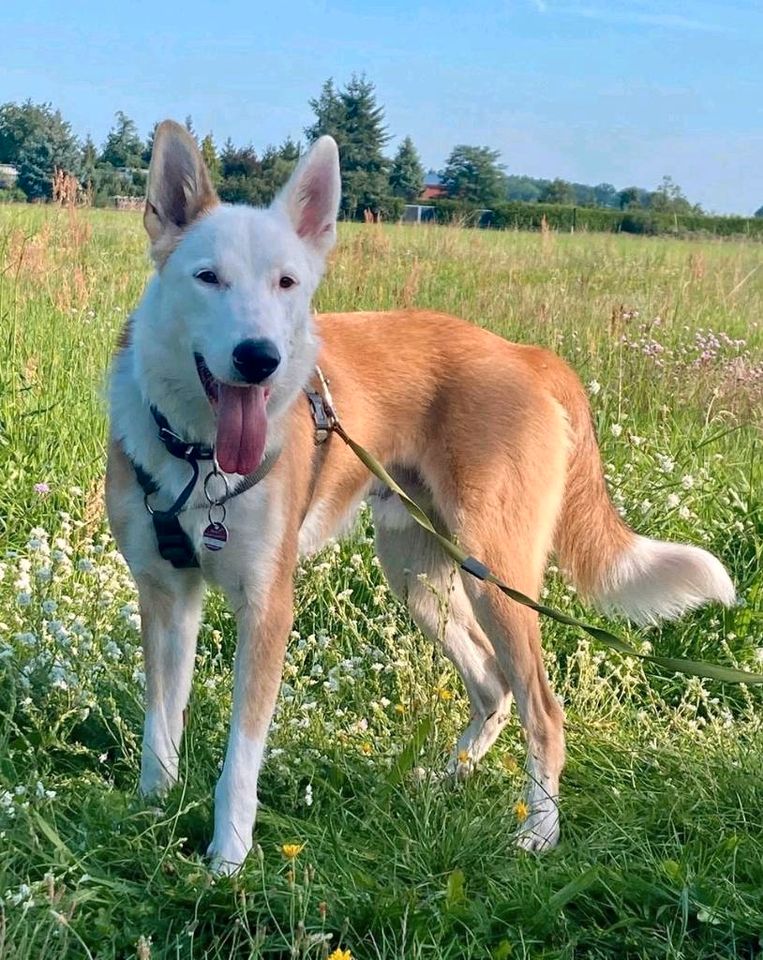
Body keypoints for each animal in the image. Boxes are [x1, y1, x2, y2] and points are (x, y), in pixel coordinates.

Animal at [104, 120, 736, 872]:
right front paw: (152, 810)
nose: (261, 358)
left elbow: (240, 757)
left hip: (494, 574)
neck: (199, 456)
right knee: (492, 685)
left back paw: (537, 830)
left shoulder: (267, 606)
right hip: (419, 574)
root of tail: (525, 355)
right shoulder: (166, 595)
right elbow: (160, 722)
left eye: (287, 282)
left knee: (542, 708)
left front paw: (227, 859)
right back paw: (447, 779)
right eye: (207, 278)